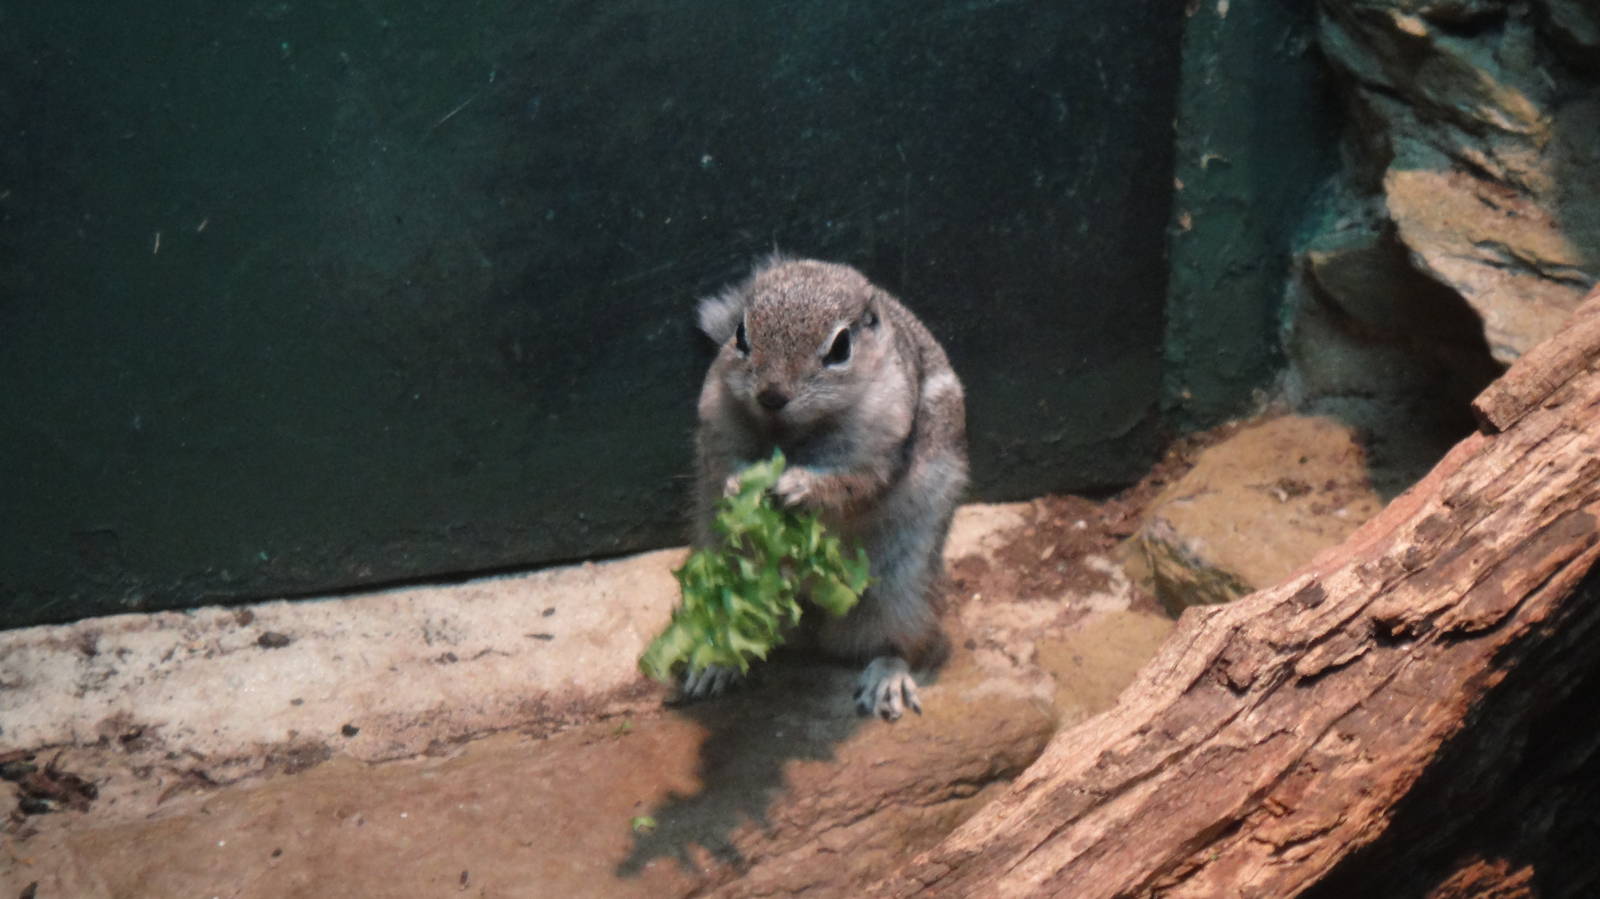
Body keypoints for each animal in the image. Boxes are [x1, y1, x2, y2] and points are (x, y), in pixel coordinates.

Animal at [683, 254, 968, 720]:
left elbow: (851, 485)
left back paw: (886, 680)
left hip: (902, 591)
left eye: (840, 348)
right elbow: (723, 465)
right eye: (740, 334)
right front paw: (740, 488)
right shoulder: (717, 427)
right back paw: (715, 663)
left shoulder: (877, 449)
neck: (792, 435)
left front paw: (799, 489)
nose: (771, 395)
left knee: (901, 642)